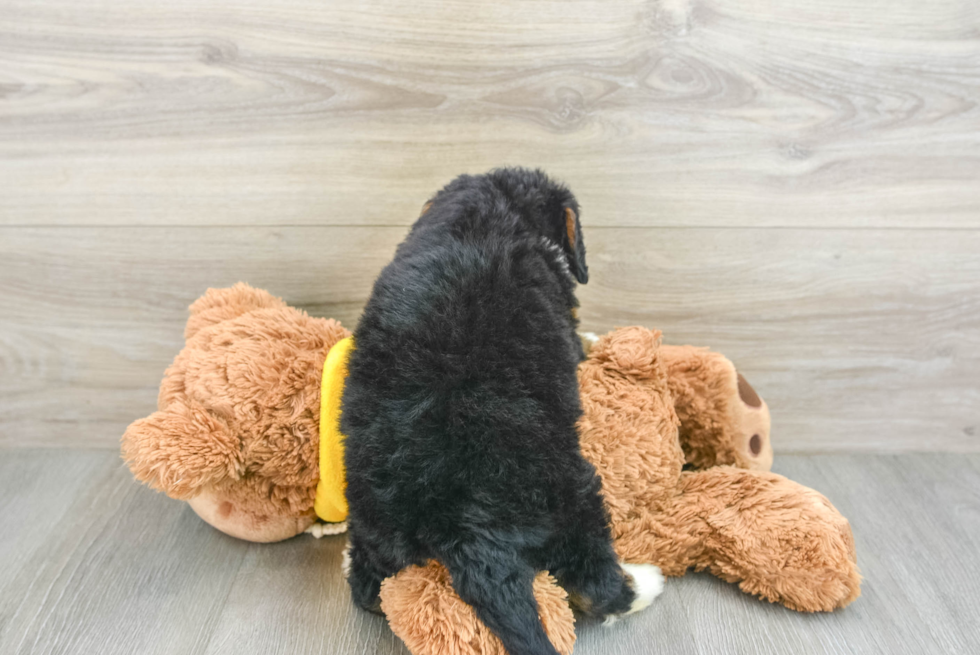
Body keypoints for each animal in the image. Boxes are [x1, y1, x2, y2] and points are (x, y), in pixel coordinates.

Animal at [340, 168, 664, 655]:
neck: (492, 209)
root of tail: (462, 528)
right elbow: (577, 340)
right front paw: (592, 341)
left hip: (374, 524)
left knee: (369, 589)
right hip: (574, 494)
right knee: (595, 582)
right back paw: (645, 583)